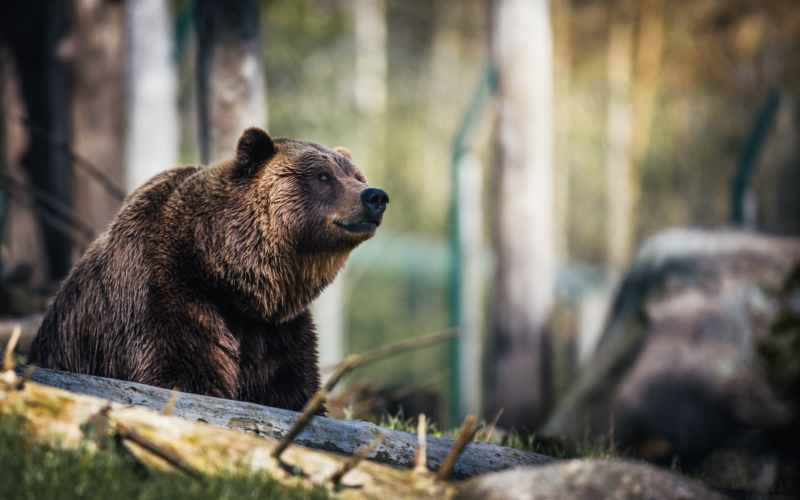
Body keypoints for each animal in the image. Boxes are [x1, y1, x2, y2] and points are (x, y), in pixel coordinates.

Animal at [30, 127, 390, 412]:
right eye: (323, 176)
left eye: (357, 176)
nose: (375, 196)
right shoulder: (163, 299)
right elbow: (181, 375)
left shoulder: (278, 332)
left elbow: (291, 389)